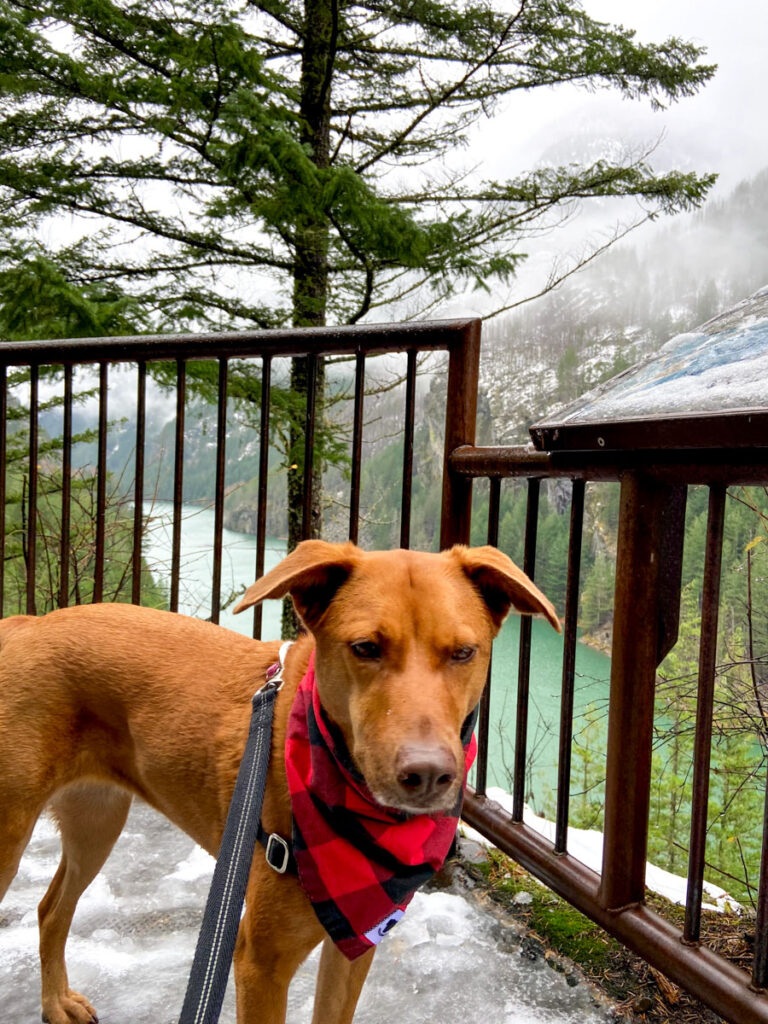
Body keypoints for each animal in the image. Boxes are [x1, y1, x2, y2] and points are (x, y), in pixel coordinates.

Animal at [0, 544, 561, 1024]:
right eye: (365, 648)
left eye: (464, 653)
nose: (427, 775)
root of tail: (25, 625)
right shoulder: (260, 962)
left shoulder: (354, 945)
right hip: (12, 834)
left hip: (97, 819)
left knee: (51, 910)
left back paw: (55, 1002)